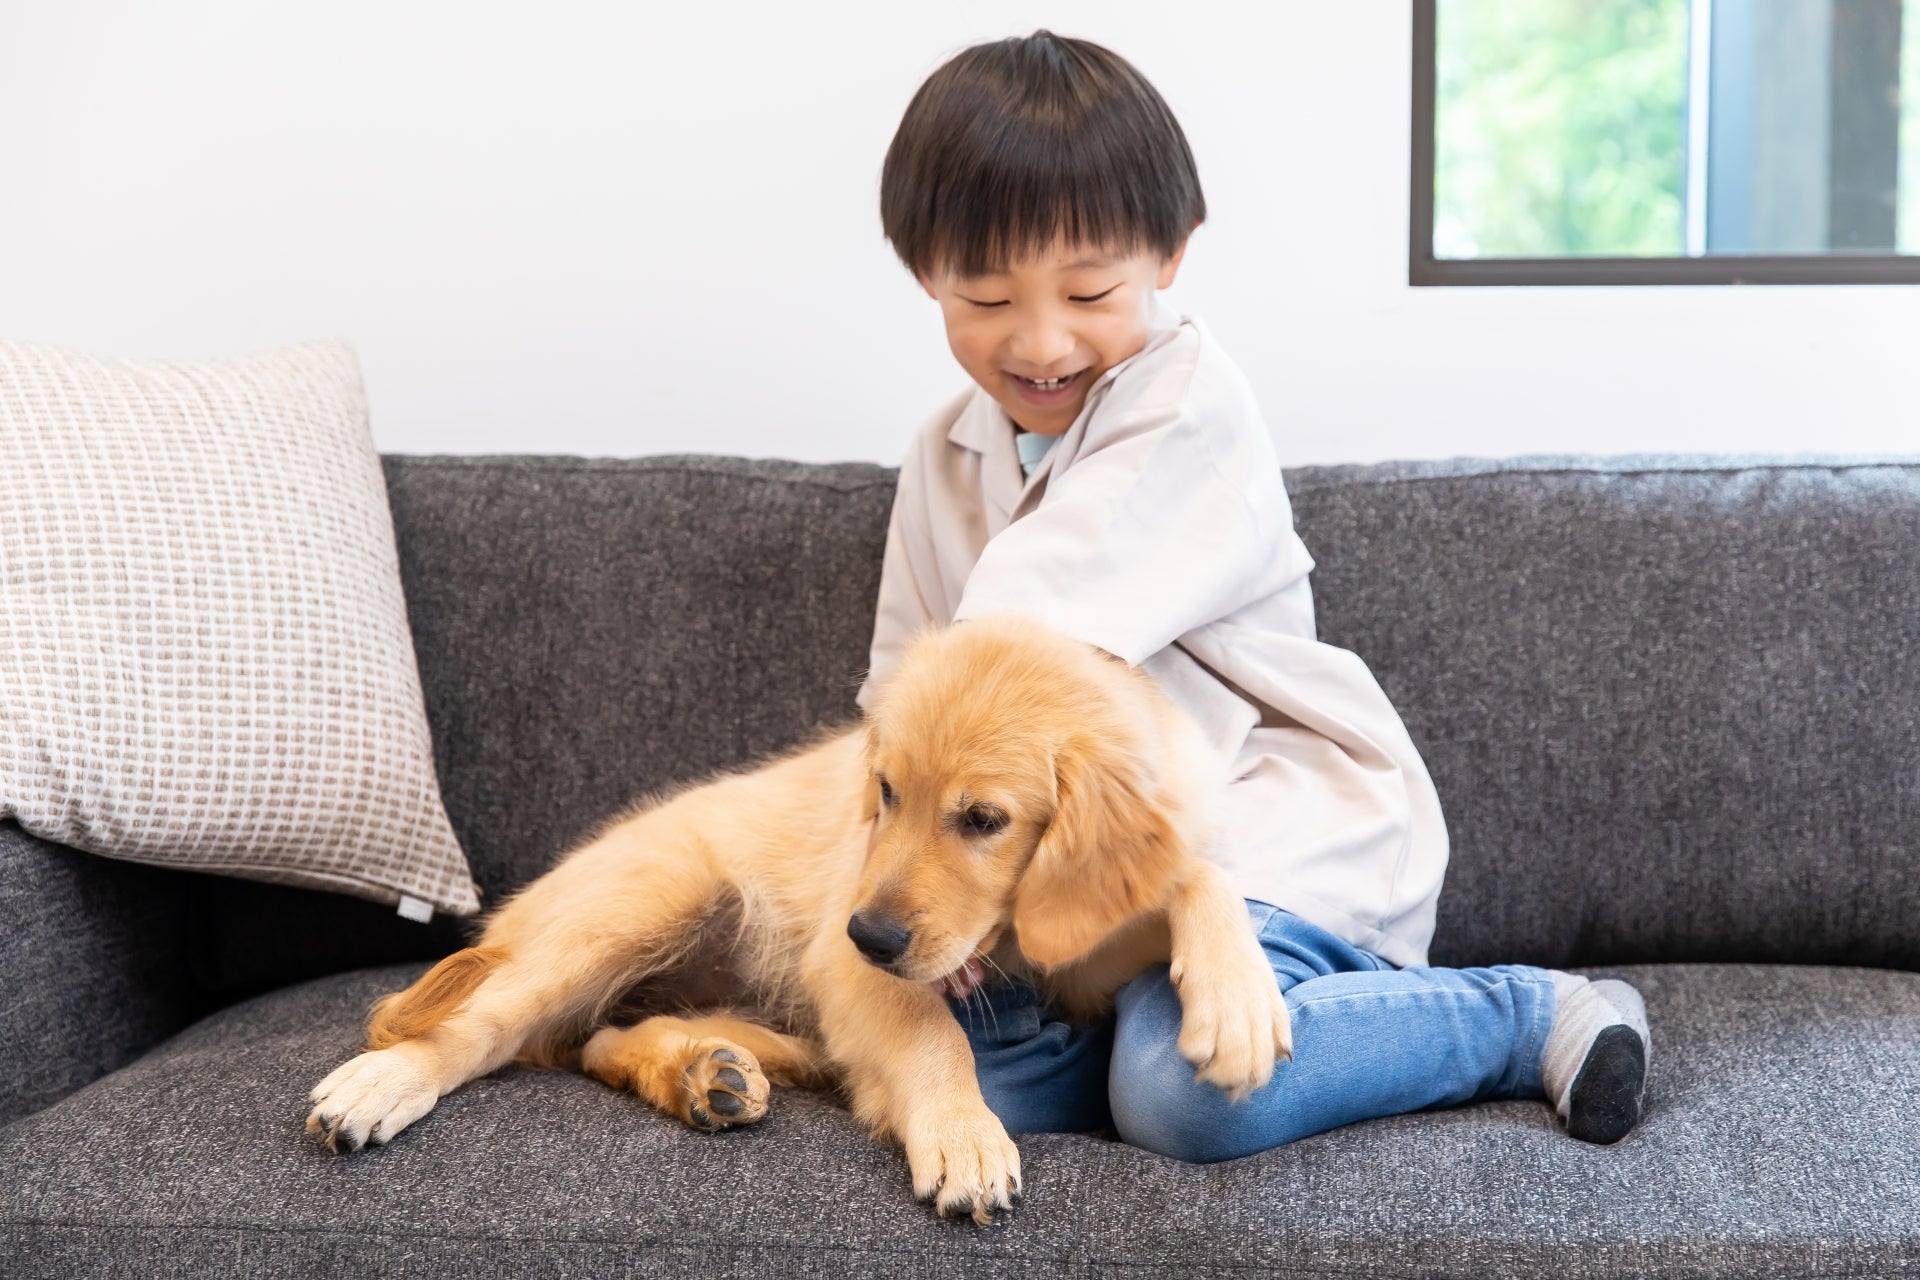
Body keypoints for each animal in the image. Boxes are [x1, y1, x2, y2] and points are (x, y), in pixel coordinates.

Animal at [307, 614, 1290, 1228]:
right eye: (885, 791)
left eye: (983, 820)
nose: (874, 937)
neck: (1006, 935)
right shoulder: (849, 957)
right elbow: (934, 1031)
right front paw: (965, 1136)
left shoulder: (1084, 938)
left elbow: (1196, 875)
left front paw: (1238, 1002)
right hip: (646, 905)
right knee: (487, 1024)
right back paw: (383, 1085)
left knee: (601, 1038)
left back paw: (707, 1075)